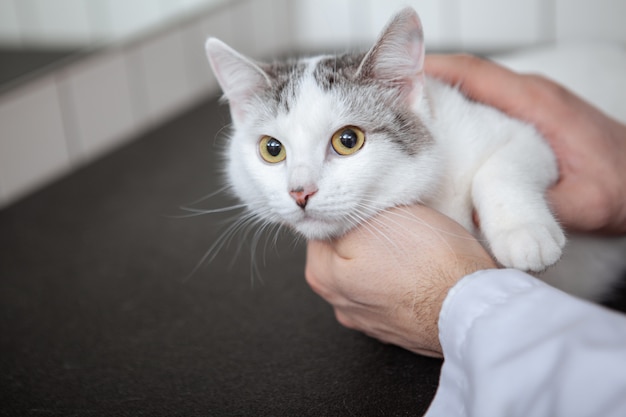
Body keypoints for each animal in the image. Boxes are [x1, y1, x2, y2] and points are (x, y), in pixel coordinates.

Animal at [202, 6, 620, 300]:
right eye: (272, 149)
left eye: (348, 140)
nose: (299, 192)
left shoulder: (528, 133)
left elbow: (500, 167)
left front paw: (523, 233)